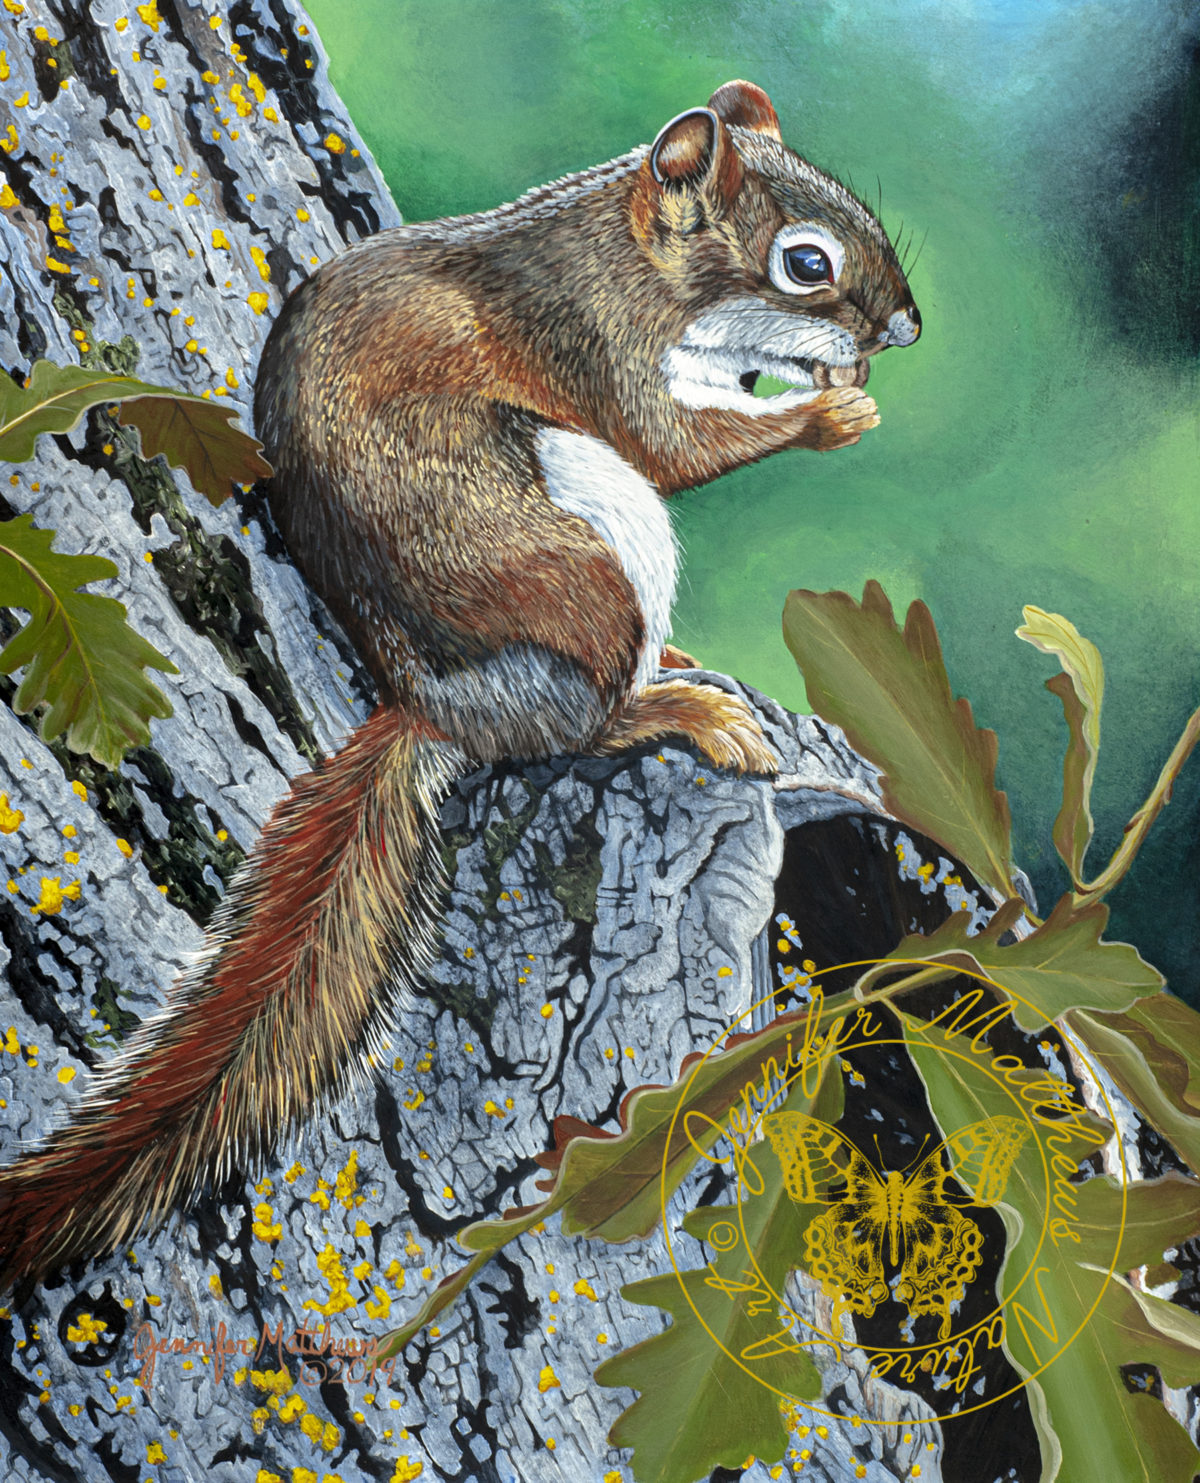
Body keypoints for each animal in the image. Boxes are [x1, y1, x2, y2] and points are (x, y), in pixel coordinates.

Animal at [0, 80, 919, 1293]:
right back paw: (673, 705)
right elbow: (678, 445)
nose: (906, 330)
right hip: (591, 543)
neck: (624, 258)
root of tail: (441, 706)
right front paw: (827, 412)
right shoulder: (600, 353)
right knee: (588, 719)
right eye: (805, 263)